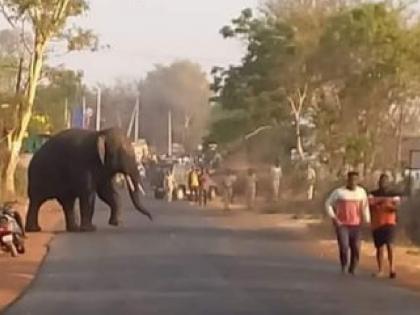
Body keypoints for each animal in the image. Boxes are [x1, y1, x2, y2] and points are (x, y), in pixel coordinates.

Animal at [25, 127, 153, 233]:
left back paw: (73, 229)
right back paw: (34, 229)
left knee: (67, 202)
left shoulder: (102, 168)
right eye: (124, 153)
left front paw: (116, 223)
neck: (101, 133)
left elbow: (107, 192)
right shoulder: (83, 164)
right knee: (36, 201)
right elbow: (88, 193)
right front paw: (90, 229)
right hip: (38, 176)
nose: (151, 218)